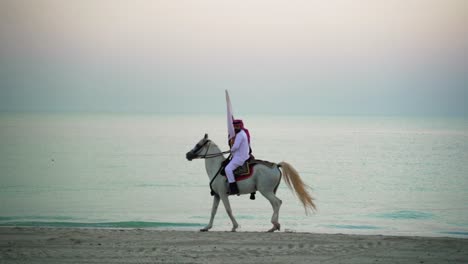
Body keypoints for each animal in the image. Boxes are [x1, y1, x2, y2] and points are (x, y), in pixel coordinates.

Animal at [186, 133, 314, 232]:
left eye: (198, 145)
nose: (187, 155)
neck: (217, 167)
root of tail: (275, 166)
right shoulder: (217, 195)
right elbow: (213, 211)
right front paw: (207, 227)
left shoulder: (222, 194)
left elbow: (228, 209)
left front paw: (235, 226)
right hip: (270, 191)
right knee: (275, 204)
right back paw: (273, 226)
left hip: (265, 191)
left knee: (277, 203)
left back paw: (275, 224)